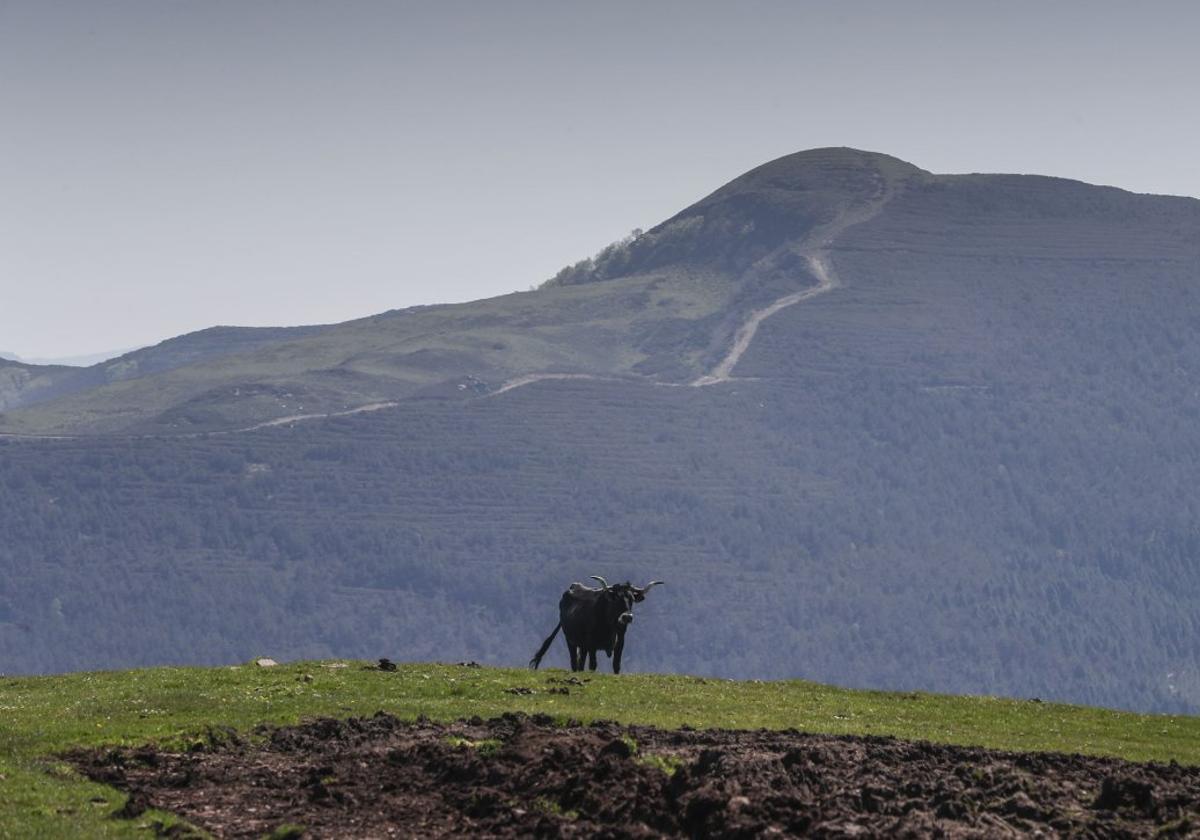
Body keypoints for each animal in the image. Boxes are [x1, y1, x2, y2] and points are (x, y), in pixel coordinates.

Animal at [530, 573, 667, 672]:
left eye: (632, 599)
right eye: (616, 598)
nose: (627, 617)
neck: (610, 625)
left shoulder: (620, 642)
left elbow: (616, 665)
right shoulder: (592, 644)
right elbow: (593, 665)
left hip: (582, 645)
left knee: (580, 663)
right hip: (570, 640)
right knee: (574, 662)